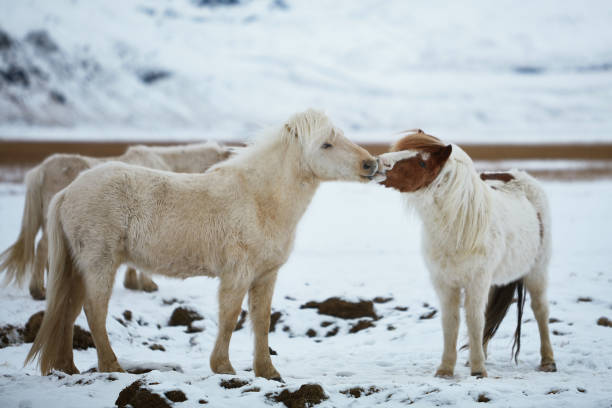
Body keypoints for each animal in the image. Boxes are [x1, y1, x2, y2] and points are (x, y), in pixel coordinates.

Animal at [25, 109, 378, 380]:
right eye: (326, 144)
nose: (371, 164)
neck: (259, 199)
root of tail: (68, 192)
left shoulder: (265, 276)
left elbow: (261, 322)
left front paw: (267, 372)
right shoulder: (237, 274)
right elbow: (230, 317)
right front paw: (223, 367)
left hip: (78, 266)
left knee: (68, 309)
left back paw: (68, 368)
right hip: (100, 263)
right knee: (94, 310)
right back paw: (111, 367)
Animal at [376, 130, 556, 376]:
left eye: (422, 162)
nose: (379, 163)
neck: (458, 227)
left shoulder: (476, 281)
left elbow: (473, 320)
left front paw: (479, 370)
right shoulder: (444, 283)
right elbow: (451, 322)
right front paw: (446, 369)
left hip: (537, 270)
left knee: (540, 310)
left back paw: (547, 361)